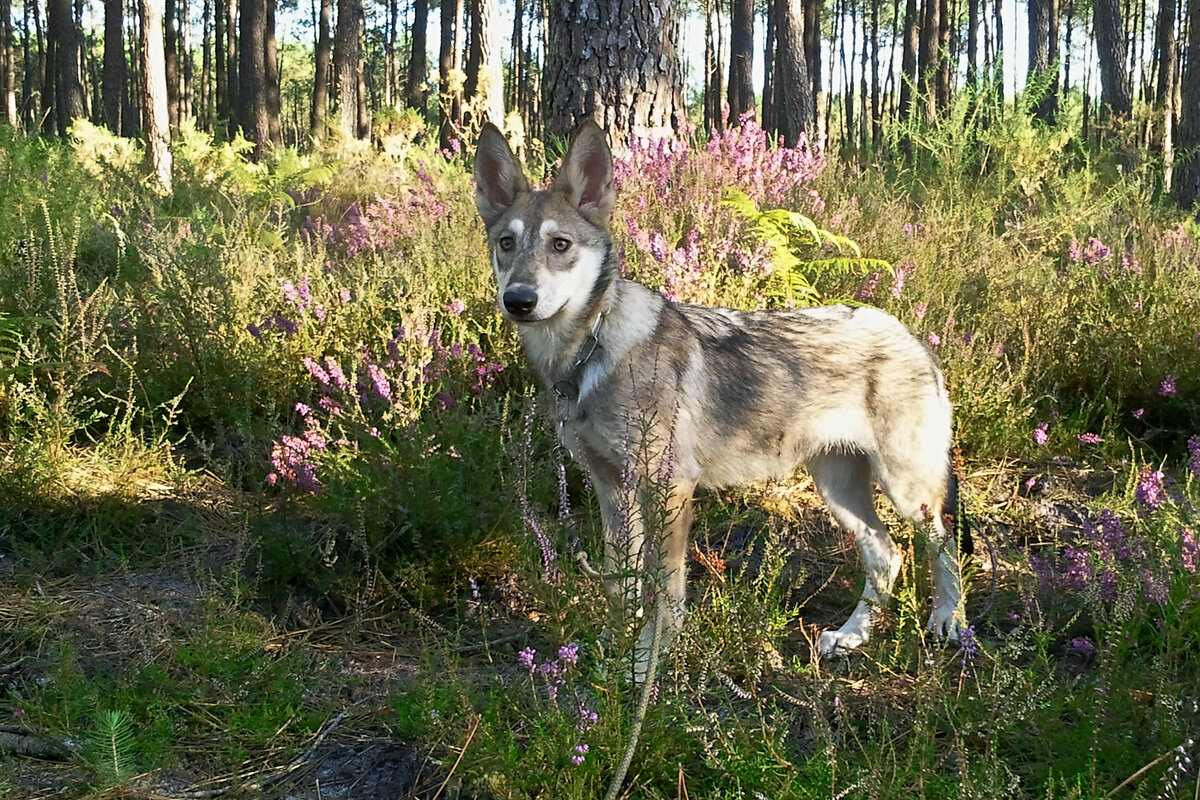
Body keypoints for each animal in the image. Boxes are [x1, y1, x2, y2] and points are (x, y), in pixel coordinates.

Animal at [470, 118, 964, 671]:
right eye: (506, 243)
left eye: (560, 245)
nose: (518, 300)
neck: (587, 355)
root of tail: (912, 336)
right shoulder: (610, 488)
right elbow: (621, 587)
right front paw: (612, 654)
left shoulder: (670, 488)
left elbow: (665, 594)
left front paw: (647, 666)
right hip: (839, 489)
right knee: (887, 554)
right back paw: (851, 636)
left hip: (907, 492)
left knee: (945, 547)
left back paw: (949, 623)